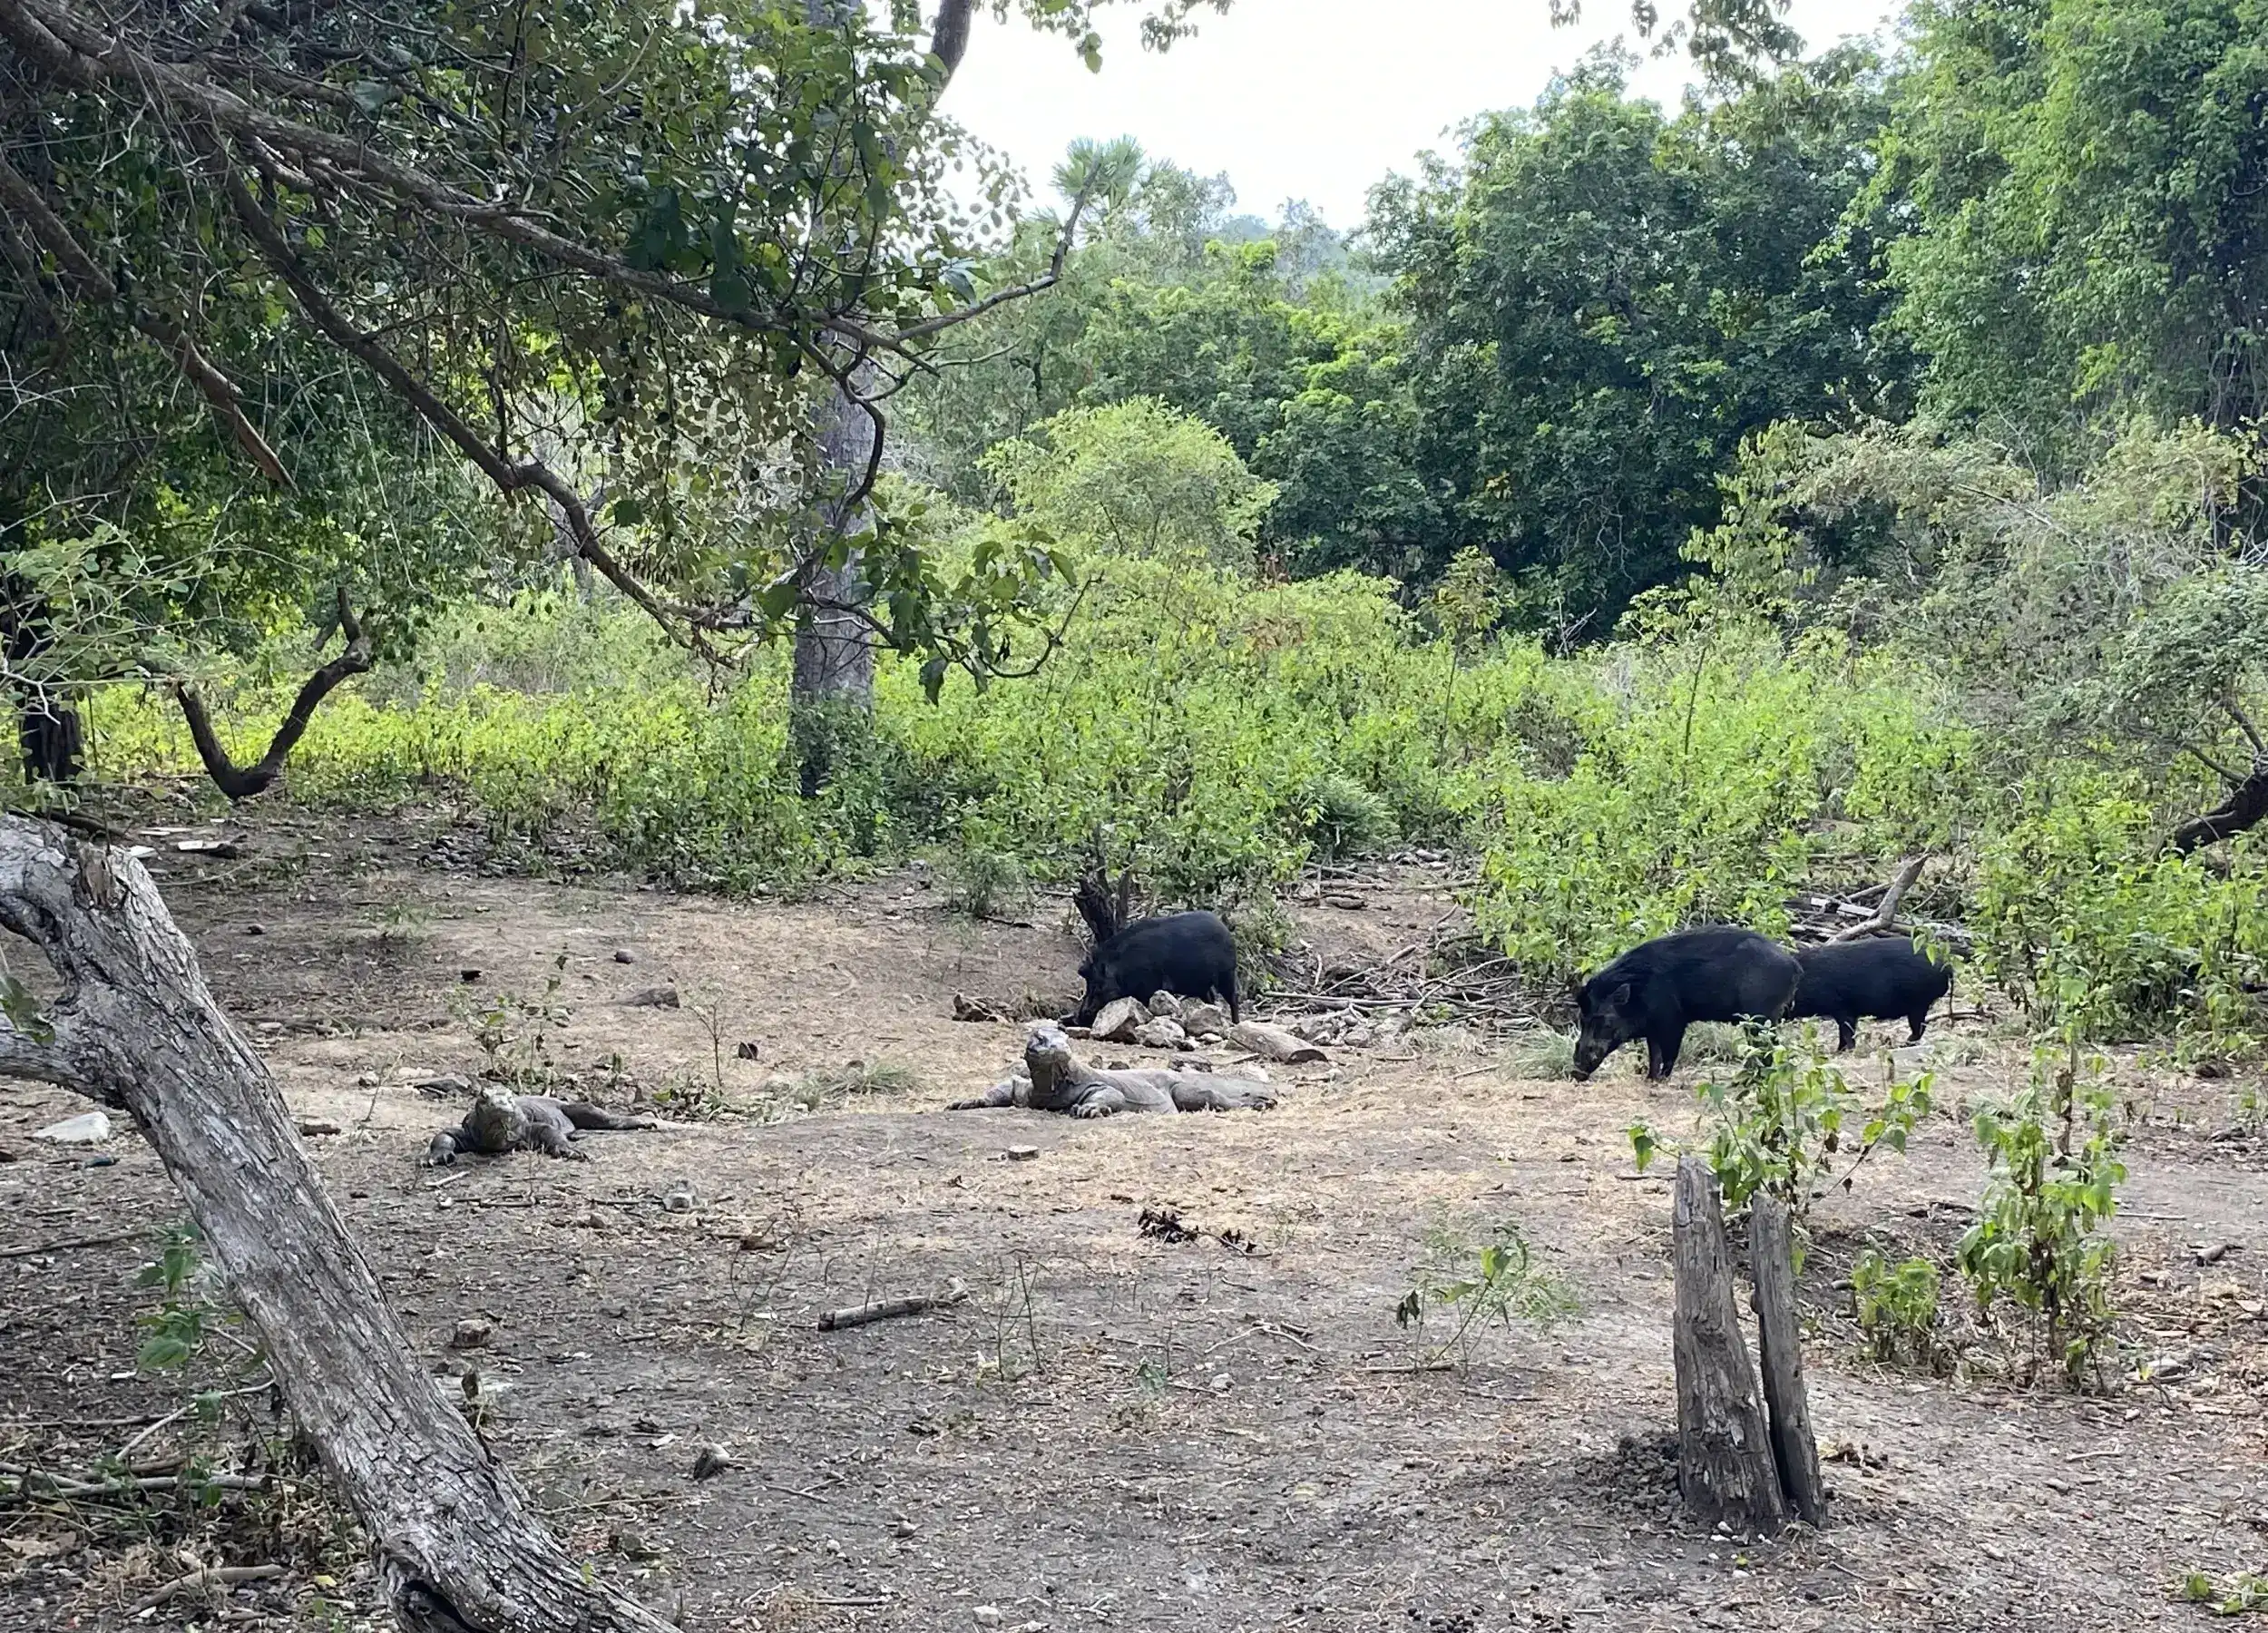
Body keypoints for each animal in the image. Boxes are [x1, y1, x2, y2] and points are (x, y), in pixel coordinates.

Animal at [1066, 911, 1240, 1028]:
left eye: (1098, 986)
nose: (1078, 1018)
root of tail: (1226, 930)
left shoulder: (1149, 987)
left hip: (1227, 973)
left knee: (1233, 998)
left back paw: (1236, 1023)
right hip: (1200, 985)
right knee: (1211, 998)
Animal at [1572, 926, 1801, 1081]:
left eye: (1605, 1021)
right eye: (1582, 1019)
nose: (1576, 1072)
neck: (1638, 993)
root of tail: (1793, 965)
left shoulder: (1674, 1021)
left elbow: (1669, 1054)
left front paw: (1662, 1080)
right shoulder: (1652, 1027)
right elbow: (1654, 1055)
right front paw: (1650, 1079)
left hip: (1760, 1016)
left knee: (1768, 1047)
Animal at [1789, 935, 1953, 1052]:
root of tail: (1946, 966)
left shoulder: (1843, 1007)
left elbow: (1847, 1031)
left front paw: (1845, 1051)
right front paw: (1839, 1050)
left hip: (1919, 1002)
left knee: (1919, 1026)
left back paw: (1903, 1044)